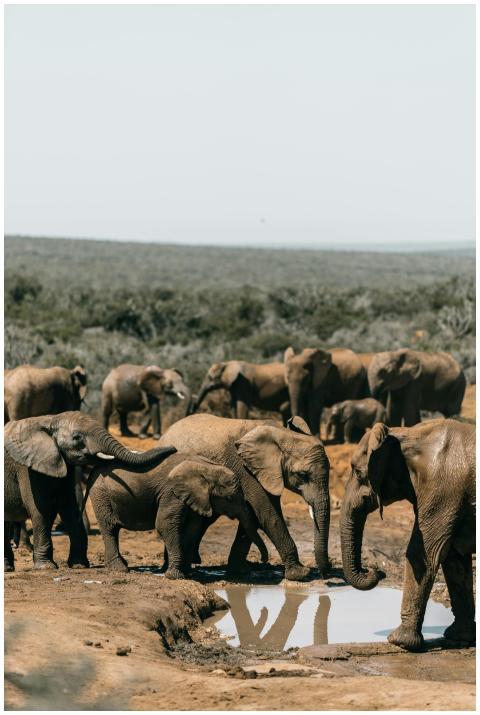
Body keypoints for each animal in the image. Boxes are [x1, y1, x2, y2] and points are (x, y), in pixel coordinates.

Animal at [4, 411, 176, 572]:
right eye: (77, 437)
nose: (173, 449)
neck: (50, 419)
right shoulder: (26, 467)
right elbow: (41, 510)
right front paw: (47, 567)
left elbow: (70, 508)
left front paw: (79, 565)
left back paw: (7, 568)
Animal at [87, 454, 268, 579]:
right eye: (229, 499)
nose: (263, 560)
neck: (206, 468)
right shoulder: (171, 493)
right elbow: (165, 524)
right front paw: (175, 577)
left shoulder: (194, 498)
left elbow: (192, 528)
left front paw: (188, 574)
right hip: (101, 495)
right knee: (110, 528)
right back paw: (120, 569)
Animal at [159, 413, 330, 580]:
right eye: (302, 475)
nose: (323, 574)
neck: (284, 434)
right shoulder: (248, 471)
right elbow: (267, 514)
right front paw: (300, 574)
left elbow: (253, 516)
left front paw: (239, 571)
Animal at [340, 419, 475, 652]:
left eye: (357, 472)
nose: (376, 571)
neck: (406, 434)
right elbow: (454, 558)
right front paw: (460, 637)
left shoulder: (441, 490)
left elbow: (422, 553)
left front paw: (400, 642)